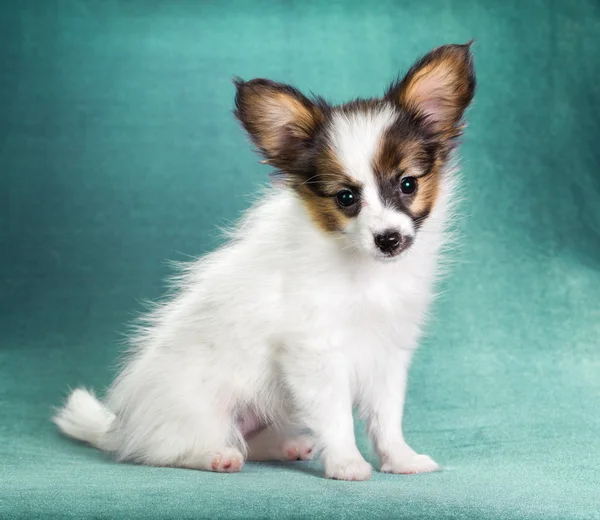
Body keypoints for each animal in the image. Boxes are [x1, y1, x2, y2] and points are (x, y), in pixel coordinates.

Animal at [57, 42, 478, 482]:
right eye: (346, 198)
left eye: (408, 183)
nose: (389, 239)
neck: (362, 270)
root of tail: (120, 428)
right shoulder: (315, 353)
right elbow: (338, 417)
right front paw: (347, 463)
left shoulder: (388, 352)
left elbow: (387, 417)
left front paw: (400, 459)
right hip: (200, 410)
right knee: (167, 450)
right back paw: (215, 455)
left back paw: (287, 446)